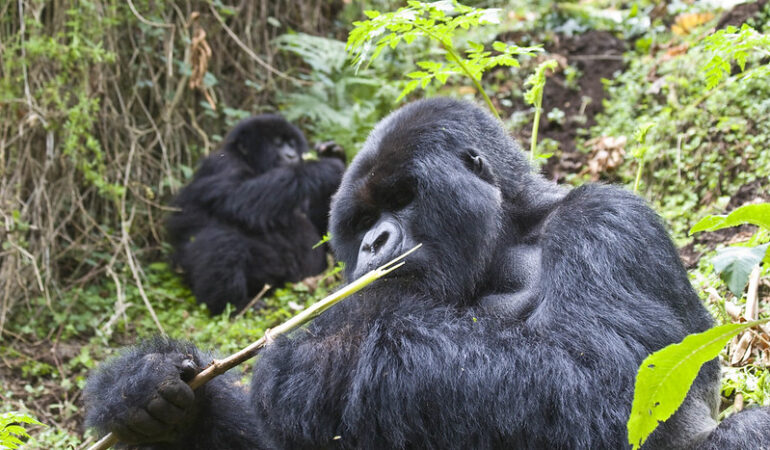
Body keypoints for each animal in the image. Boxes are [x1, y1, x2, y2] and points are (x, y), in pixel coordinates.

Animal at [166, 114, 344, 314]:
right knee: (222, 240)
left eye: (291, 144)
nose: (291, 155)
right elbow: (241, 200)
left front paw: (335, 154)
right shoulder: (222, 165)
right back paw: (236, 305)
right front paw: (323, 167)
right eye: (278, 144)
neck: (252, 163)